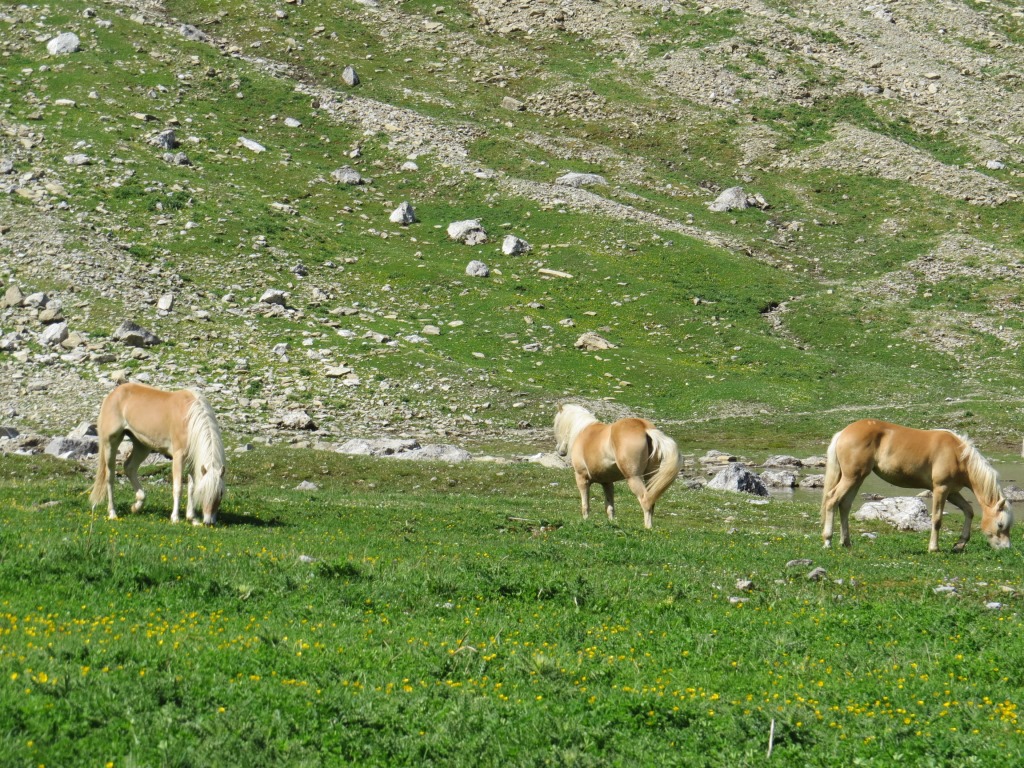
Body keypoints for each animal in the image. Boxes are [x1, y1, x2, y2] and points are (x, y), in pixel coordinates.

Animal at [89, 382, 226, 525]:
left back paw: (137, 505)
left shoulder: (193, 460)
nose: (209, 521)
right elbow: (178, 487)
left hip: (142, 446)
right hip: (111, 443)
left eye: (221, 493)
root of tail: (113, 394)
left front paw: (192, 518)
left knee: (129, 467)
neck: (189, 419)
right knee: (109, 476)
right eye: (204, 491)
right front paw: (175, 518)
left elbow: (192, 488)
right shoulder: (179, 457)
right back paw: (112, 513)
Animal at [553, 403, 683, 529]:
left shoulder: (582, 478)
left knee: (645, 501)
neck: (582, 432)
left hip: (634, 478)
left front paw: (586, 521)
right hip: (650, 477)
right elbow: (610, 507)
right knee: (652, 501)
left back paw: (648, 528)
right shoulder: (607, 483)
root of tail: (645, 428)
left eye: (558, 425)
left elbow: (585, 505)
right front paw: (612, 524)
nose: (560, 451)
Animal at [820, 419, 1011, 552]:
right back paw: (828, 541)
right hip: (851, 478)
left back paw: (846, 542)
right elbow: (937, 519)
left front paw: (960, 544)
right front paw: (934, 548)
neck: (958, 454)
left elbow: (969, 511)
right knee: (832, 500)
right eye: (1001, 525)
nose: (1006, 548)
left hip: (857, 478)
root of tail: (843, 433)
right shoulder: (941, 489)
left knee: (844, 505)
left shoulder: (952, 492)